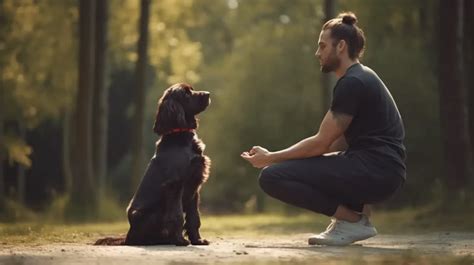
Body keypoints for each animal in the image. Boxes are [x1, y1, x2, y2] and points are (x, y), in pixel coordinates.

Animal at [96, 83, 211, 245]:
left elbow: (194, 217)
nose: (208, 94)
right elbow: (177, 216)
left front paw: (198, 240)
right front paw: (180, 240)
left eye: (192, 90)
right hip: (150, 213)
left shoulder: (195, 184)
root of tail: (128, 237)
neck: (180, 136)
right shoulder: (175, 184)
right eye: (186, 94)